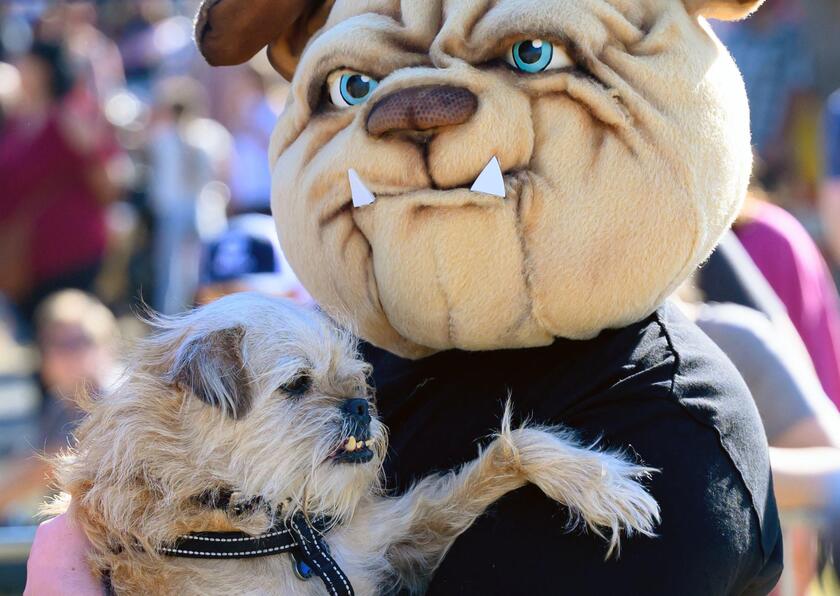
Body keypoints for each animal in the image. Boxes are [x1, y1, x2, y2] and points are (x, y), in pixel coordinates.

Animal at [49, 294, 660, 596]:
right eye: (298, 384)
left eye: (358, 378)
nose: (361, 406)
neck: (283, 531)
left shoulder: (399, 541)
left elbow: (509, 447)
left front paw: (596, 482)